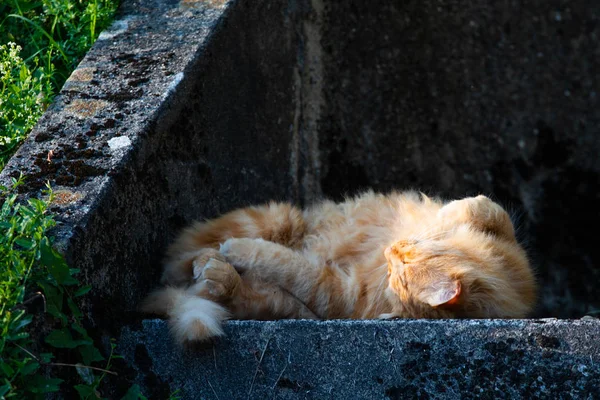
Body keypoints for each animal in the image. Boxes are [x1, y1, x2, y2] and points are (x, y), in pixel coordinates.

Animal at [143, 191, 536, 344]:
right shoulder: (499, 226)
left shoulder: (336, 294)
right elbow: (476, 206)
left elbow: (288, 264)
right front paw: (442, 219)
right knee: (178, 256)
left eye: (397, 272)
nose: (390, 250)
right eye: (402, 255)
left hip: (277, 297)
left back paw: (216, 274)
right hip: (278, 217)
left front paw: (240, 252)